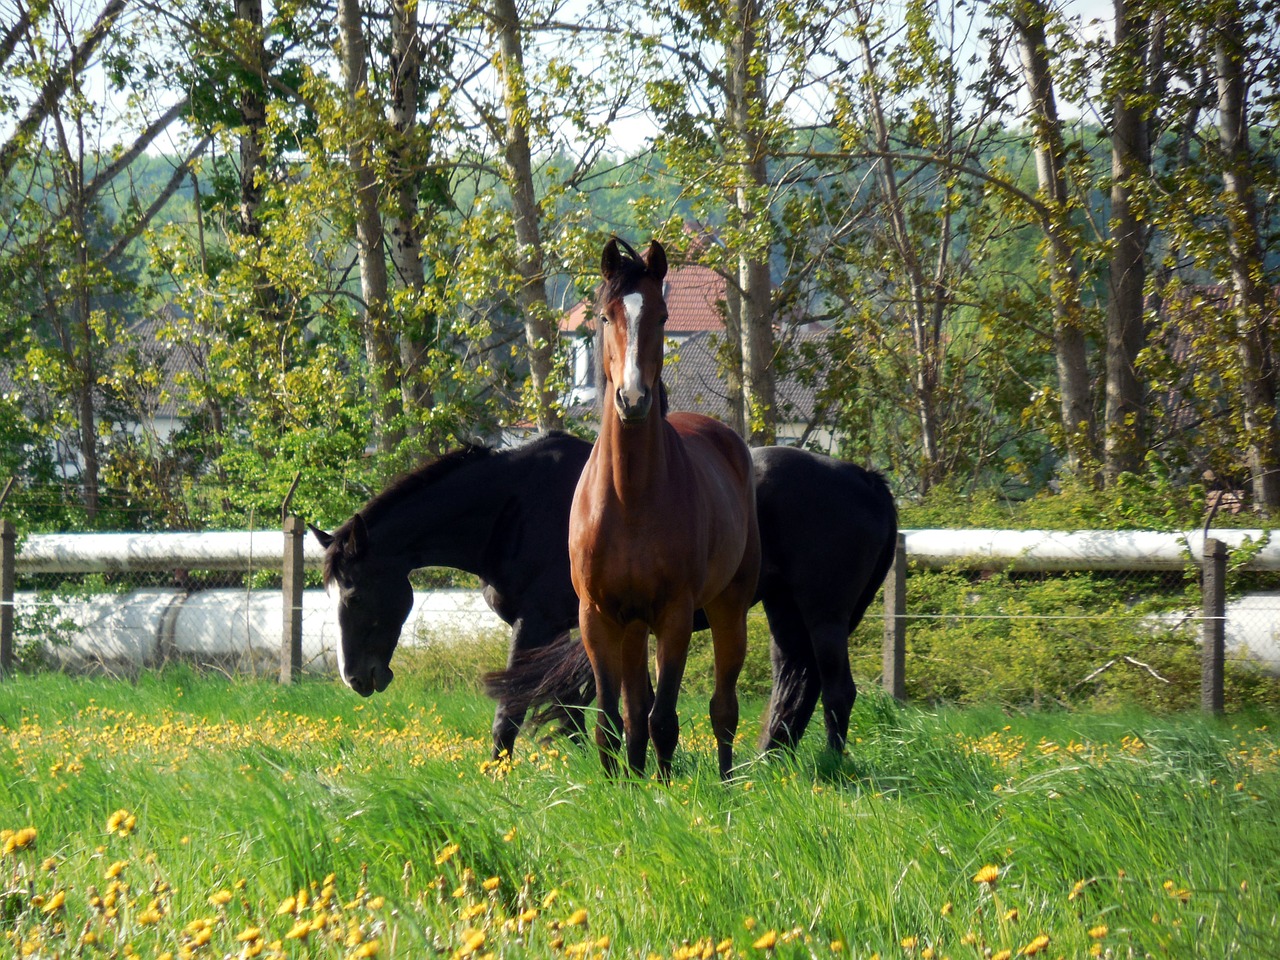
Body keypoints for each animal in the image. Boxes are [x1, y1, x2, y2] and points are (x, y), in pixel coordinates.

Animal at [311, 435, 896, 757]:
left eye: (355, 596)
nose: (356, 677)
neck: (513, 506)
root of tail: (867, 480)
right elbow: (572, 705)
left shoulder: (537, 624)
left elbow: (514, 708)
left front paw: (498, 770)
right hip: (785, 613)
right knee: (795, 690)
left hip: (823, 614)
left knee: (837, 692)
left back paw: (831, 767)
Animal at [570, 239, 757, 783]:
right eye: (605, 316)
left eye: (663, 314)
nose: (632, 398)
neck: (630, 497)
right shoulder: (598, 617)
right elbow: (613, 720)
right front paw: (619, 787)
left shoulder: (674, 617)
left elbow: (665, 719)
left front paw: (665, 791)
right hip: (633, 627)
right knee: (635, 711)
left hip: (728, 608)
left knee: (723, 708)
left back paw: (726, 782)